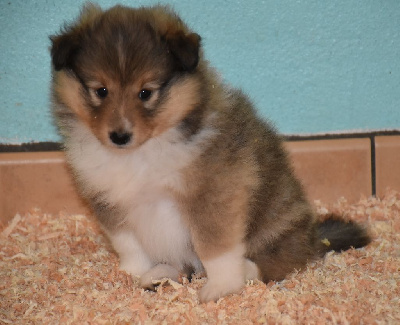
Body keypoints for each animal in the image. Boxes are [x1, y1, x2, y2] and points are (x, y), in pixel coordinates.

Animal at [50, 3, 372, 302]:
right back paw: (158, 274)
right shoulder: (108, 200)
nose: (119, 136)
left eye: (146, 93)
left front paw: (222, 287)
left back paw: (246, 270)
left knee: (282, 259)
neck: (141, 153)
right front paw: (133, 272)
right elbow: (128, 243)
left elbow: (215, 248)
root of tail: (316, 237)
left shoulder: (213, 194)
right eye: (100, 91)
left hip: (278, 227)